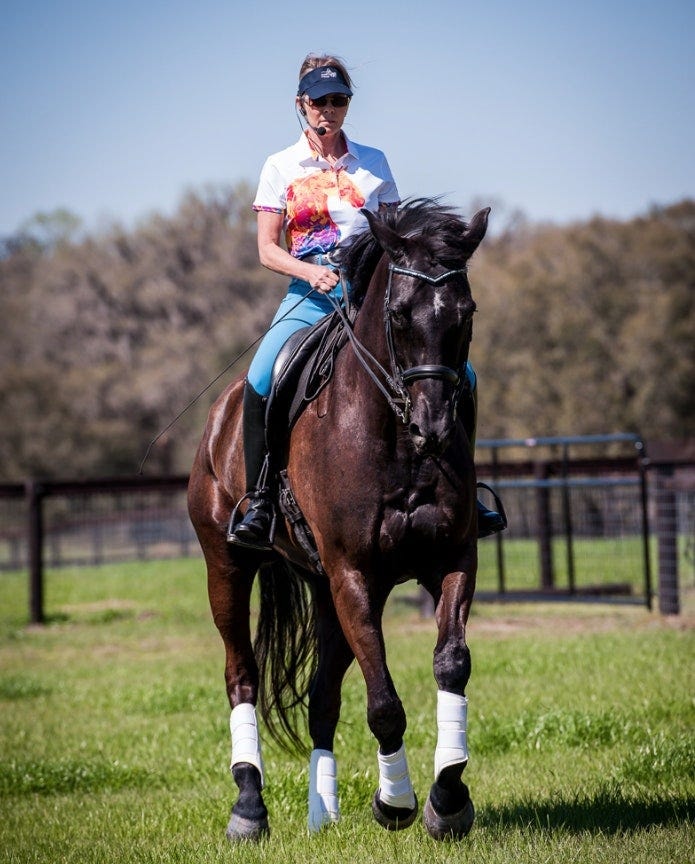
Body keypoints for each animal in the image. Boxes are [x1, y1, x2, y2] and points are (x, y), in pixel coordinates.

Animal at [187, 199, 490, 841]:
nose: (434, 428)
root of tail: (220, 415)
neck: (396, 438)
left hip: (324, 588)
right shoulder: (355, 576)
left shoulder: (453, 559)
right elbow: (385, 703)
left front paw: (448, 799)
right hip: (228, 566)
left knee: (321, 697)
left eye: (466, 313)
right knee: (241, 674)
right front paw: (396, 803)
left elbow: (451, 664)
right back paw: (248, 808)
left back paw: (320, 811)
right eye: (398, 315)